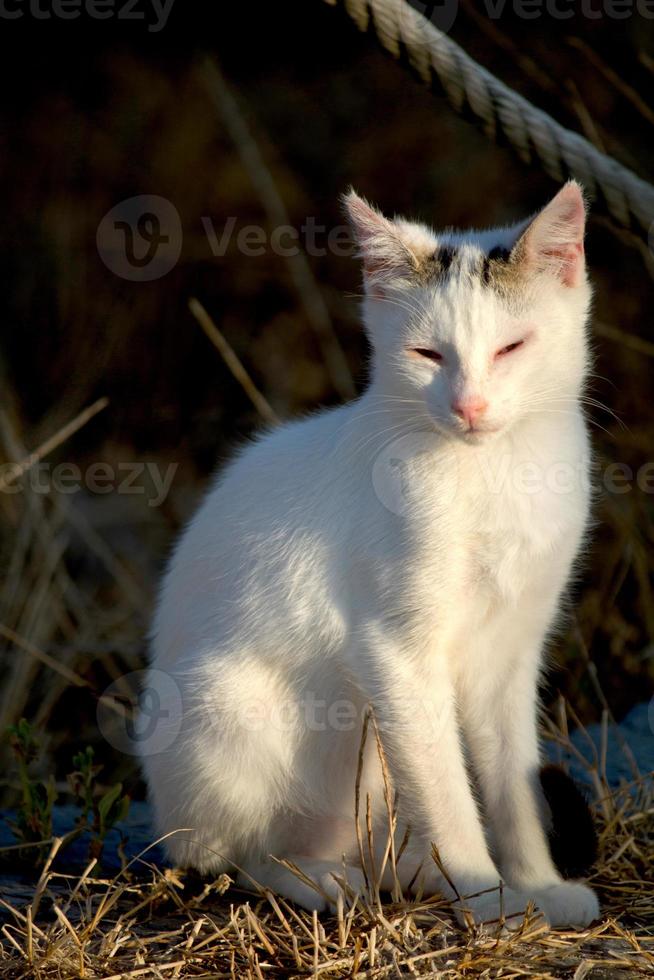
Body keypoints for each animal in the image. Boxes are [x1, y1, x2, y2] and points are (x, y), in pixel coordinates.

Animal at [142, 182, 600, 928]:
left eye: (511, 348)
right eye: (428, 355)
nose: (470, 407)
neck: (492, 472)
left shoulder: (511, 650)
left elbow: (514, 782)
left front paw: (537, 884)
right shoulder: (394, 652)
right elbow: (446, 791)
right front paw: (490, 899)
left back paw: (410, 873)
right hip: (228, 708)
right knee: (234, 858)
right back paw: (324, 880)